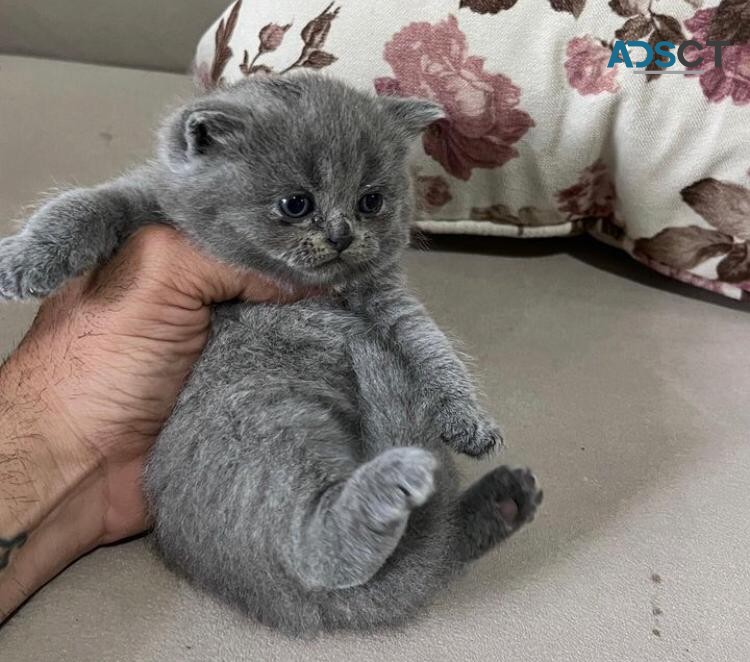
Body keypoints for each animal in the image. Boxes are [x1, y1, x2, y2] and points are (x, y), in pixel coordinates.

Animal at [0, 74, 544, 640]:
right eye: (295, 204)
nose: (342, 234)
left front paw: (468, 421)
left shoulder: (389, 301)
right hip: (265, 422)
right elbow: (86, 204)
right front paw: (26, 262)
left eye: (371, 201)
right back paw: (400, 487)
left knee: (428, 549)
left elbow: (431, 347)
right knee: (315, 546)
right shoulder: (145, 207)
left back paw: (502, 501)